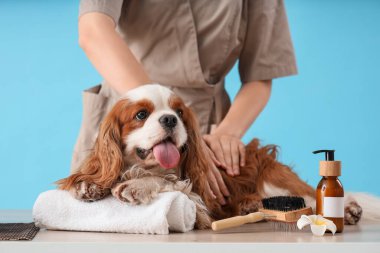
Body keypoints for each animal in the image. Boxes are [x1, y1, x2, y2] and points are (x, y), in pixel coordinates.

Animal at [56, 84, 362, 228]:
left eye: (179, 112)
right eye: (141, 115)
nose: (170, 119)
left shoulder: (198, 202)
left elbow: (167, 181)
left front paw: (137, 185)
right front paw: (90, 184)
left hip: (275, 179)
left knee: (310, 198)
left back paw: (349, 209)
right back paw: (249, 205)